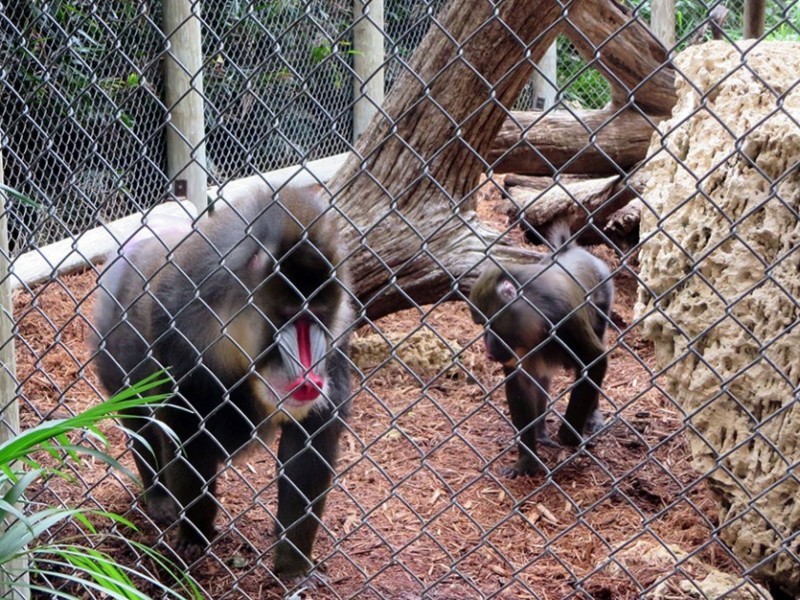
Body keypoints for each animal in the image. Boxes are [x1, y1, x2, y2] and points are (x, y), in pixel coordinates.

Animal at [92, 184, 353, 578]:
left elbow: (306, 454)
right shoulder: (181, 346)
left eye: (318, 316)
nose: (309, 381)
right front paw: (193, 538)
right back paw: (160, 501)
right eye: (289, 316)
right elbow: (186, 444)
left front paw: (292, 564)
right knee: (141, 430)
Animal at [469, 224, 613, 478]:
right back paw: (540, 431)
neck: (537, 315)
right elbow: (520, 383)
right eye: (481, 325)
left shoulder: (566, 317)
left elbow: (594, 361)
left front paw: (569, 436)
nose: (488, 349)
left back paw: (591, 417)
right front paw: (527, 461)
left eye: (490, 324)